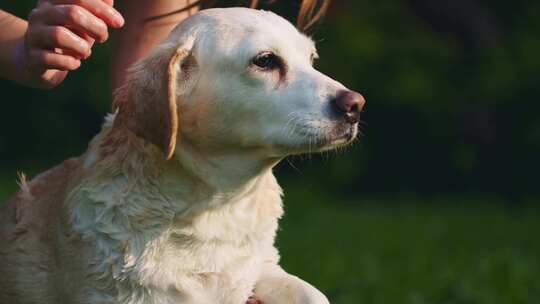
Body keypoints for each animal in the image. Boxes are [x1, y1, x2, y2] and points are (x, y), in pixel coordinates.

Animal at [0, 7, 364, 304]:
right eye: (265, 61)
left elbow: (313, 294)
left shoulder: (261, 267)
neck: (216, 211)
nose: (355, 106)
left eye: (311, 59)